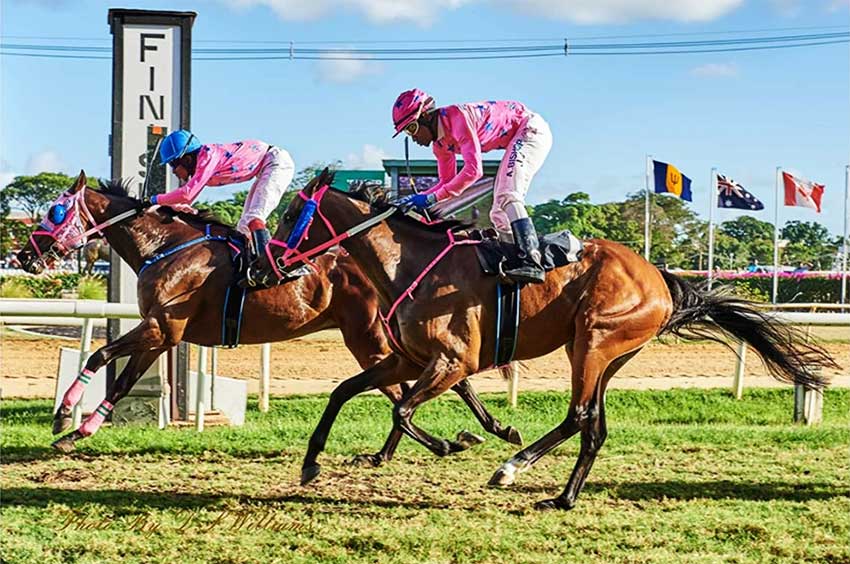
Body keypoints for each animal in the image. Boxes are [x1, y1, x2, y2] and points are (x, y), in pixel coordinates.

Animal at [16, 172, 520, 458]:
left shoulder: (161, 328)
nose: (24, 255)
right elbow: (116, 376)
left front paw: (66, 420)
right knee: (431, 384)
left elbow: (103, 360)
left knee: (406, 390)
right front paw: (74, 427)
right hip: (386, 341)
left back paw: (446, 440)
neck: (165, 246)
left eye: (54, 211)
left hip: (369, 338)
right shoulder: (162, 334)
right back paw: (480, 432)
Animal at [264, 169, 836, 512]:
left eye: (292, 215)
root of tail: (660, 277)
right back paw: (562, 497)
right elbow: (344, 391)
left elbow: (401, 410)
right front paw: (311, 463)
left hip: (593, 341)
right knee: (595, 424)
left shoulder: (451, 362)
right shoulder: (407, 359)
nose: (267, 263)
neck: (408, 263)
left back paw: (513, 470)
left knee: (580, 415)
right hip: (607, 353)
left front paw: (454, 442)